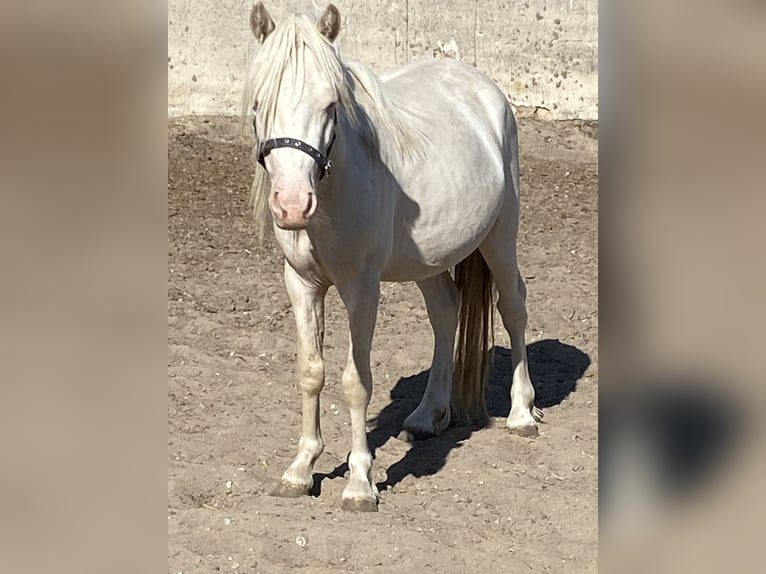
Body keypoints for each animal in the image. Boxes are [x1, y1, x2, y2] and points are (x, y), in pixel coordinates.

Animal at [242, 2, 542, 512]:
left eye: (331, 105)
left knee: (513, 306)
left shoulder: (362, 289)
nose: (293, 205)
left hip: (501, 235)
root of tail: (481, 86)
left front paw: (360, 483)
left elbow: (354, 381)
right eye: (260, 103)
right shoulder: (301, 284)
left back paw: (522, 413)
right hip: (432, 258)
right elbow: (310, 372)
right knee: (446, 309)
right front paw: (300, 470)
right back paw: (427, 415)